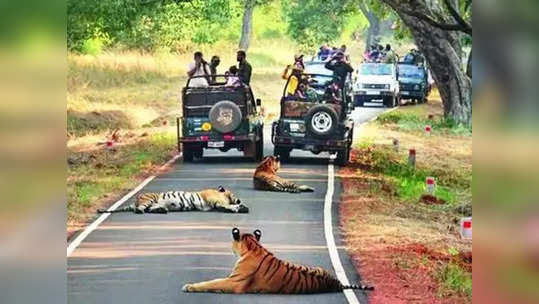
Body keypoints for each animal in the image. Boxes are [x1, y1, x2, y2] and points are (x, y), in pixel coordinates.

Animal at [184, 228, 374, 294]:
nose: (230, 247)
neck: (254, 247)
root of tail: (336, 282)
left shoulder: (234, 282)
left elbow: (212, 282)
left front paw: (189, 286)